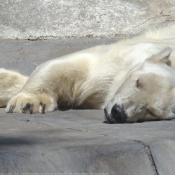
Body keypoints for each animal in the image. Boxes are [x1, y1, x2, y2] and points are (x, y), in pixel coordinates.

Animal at [1, 24, 175, 123]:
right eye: (138, 82)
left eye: (152, 111)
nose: (118, 112)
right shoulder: (128, 56)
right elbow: (75, 66)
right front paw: (28, 102)